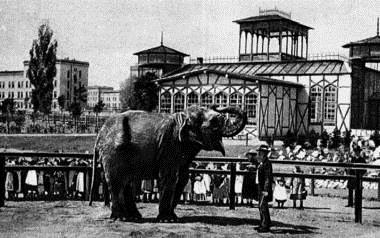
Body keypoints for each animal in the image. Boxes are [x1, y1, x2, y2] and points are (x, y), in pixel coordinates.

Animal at [90, 105, 248, 222]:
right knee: (117, 181)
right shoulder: (169, 145)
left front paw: (173, 217)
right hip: (113, 152)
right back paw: (120, 218)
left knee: (127, 182)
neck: (182, 116)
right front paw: (167, 220)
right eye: (216, 122)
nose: (218, 106)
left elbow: (182, 178)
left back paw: (133, 217)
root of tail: (99, 133)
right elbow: (170, 177)